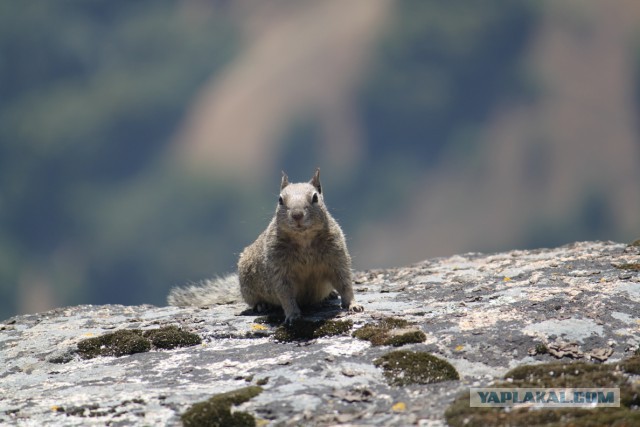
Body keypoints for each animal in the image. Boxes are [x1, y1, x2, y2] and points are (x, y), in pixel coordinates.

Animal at [168, 169, 362, 322]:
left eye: (315, 198)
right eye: (280, 200)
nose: (297, 215)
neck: (304, 239)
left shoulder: (337, 256)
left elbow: (345, 283)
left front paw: (354, 305)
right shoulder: (278, 268)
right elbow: (285, 293)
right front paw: (292, 315)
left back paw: (330, 294)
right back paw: (262, 305)